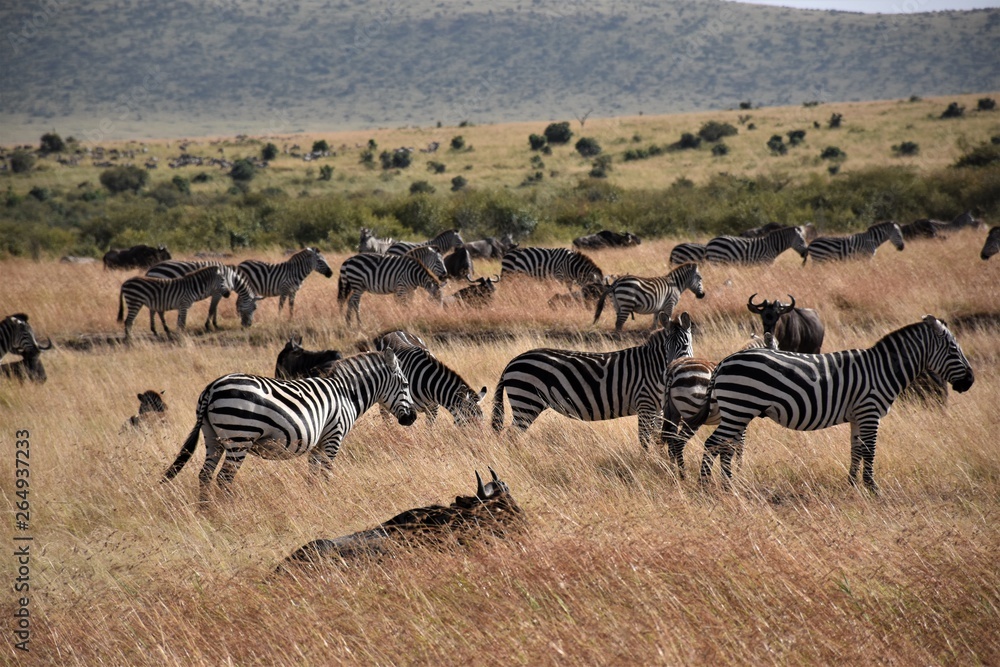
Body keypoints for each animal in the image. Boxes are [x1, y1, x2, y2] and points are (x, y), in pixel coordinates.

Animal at [161, 348, 417, 501]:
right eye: (406, 384)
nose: (412, 418)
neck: (346, 394)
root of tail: (212, 387)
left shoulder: (318, 442)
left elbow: (312, 474)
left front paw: (315, 498)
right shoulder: (333, 437)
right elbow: (326, 471)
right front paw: (328, 496)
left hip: (212, 436)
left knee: (205, 475)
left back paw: (206, 512)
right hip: (239, 437)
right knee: (224, 478)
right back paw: (228, 511)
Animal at [492, 312, 694, 450]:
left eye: (684, 346)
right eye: (666, 348)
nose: (670, 368)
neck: (654, 367)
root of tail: (512, 361)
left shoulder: (658, 408)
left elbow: (658, 437)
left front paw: (658, 461)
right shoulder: (645, 404)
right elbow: (645, 439)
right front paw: (647, 462)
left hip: (525, 403)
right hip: (526, 402)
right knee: (510, 437)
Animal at [693, 315, 974, 491]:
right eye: (953, 349)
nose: (970, 381)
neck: (882, 369)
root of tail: (725, 361)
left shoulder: (859, 416)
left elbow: (856, 450)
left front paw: (853, 485)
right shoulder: (870, 411)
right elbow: (870, 451)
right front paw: (873, 489)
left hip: (738, 411)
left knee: (726, 448)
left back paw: (728, 486)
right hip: (739, 408)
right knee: (713, 444)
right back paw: (706, 486)